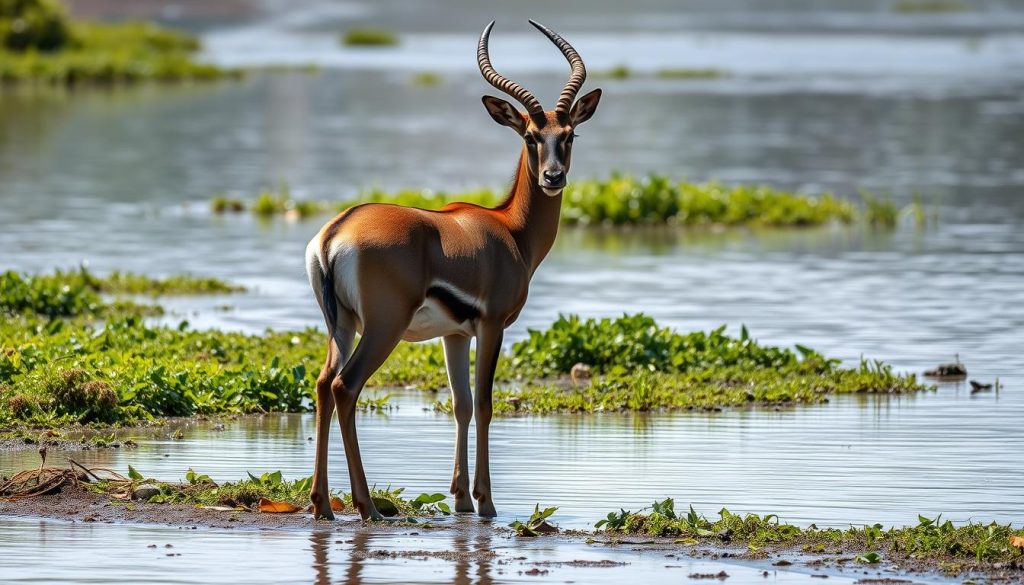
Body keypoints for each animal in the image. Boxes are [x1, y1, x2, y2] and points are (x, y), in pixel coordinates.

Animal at [304, 20, 601, 520]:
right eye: (530, 136)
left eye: (570, 135)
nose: (553, 177)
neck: (510, 230)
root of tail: (336, 233)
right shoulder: (492, 325)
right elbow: (484, 404)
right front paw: (486, 503)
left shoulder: (455, 334)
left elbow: (461, 404)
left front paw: (461, 497)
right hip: (382, 328)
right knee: (346, 387)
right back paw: (367, 506)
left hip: (340, 326)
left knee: (324, 384)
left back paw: (323, 504)